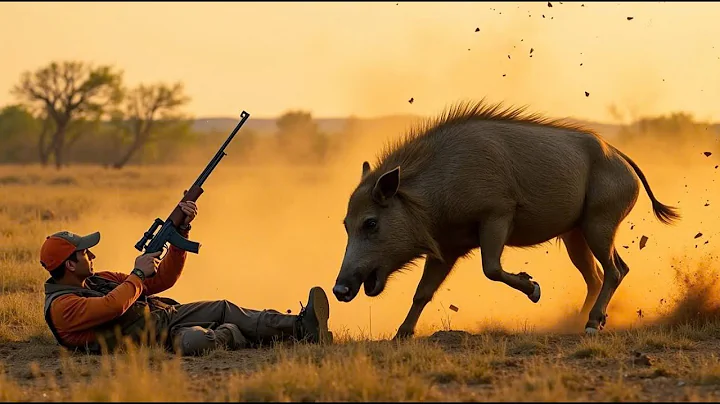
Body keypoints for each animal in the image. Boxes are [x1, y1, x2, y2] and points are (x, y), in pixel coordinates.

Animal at [332, 100, 680, 338]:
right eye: (346, 225)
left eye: (371, 222)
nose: (339, 290)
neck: (432, 193)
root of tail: (623, 159)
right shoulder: (447, 249)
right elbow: (423, 292)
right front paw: (401, 335)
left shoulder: (496, 216)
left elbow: (492, 268)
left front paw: (534, 288)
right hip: (576, 235)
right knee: (597, 275)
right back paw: (575, 322)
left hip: (599, 224)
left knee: (616, 270)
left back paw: (592, 324)